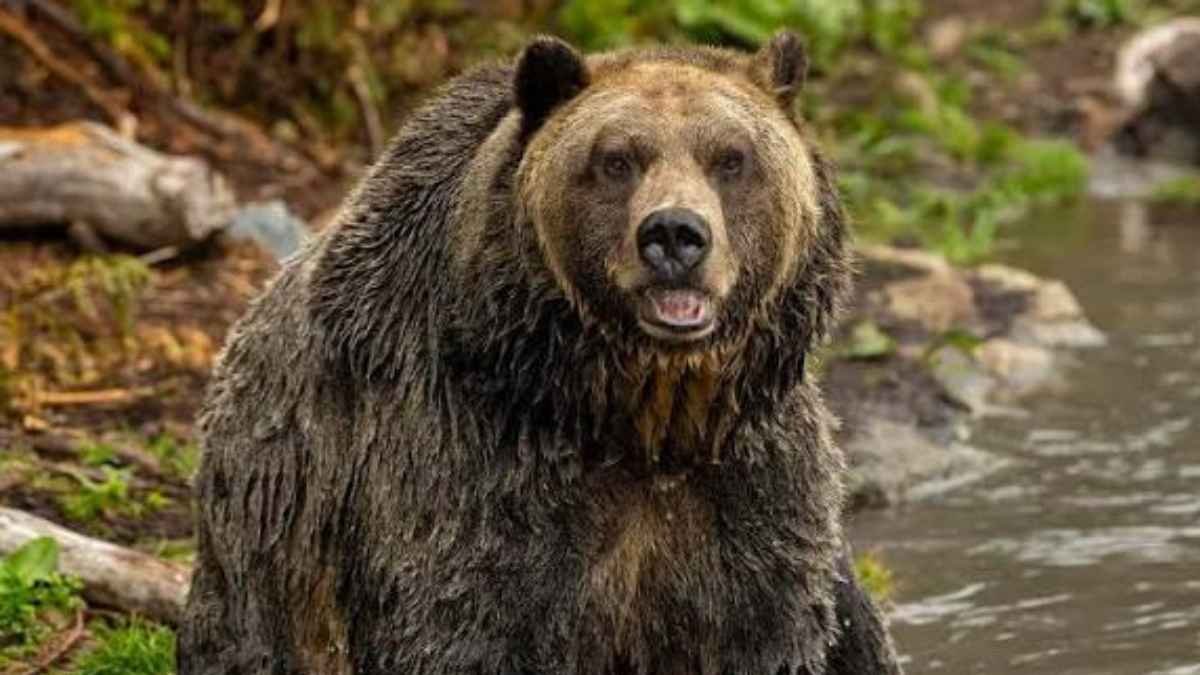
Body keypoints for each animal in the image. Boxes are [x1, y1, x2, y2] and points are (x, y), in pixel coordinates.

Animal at [178, 32, 902, 675]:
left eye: (732, 157)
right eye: (616, 159)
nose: (674, 234)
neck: (636, 416)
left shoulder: (752, 490)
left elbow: (767, 628)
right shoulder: (471, 466)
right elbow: (462, 622)